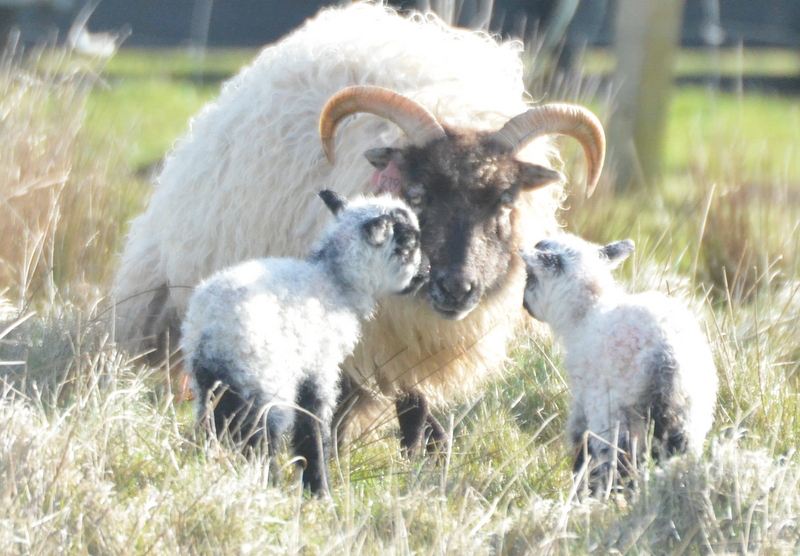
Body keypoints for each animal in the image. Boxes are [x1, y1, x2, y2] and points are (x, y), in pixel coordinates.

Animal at [520, 235, 720, 482]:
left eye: (530, 276)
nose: (524, 304)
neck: (587, 311)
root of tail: (667, 355)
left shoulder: (584, 396)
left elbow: (580, 437)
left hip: (614, 409)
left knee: (615, 457)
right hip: (690, 413)